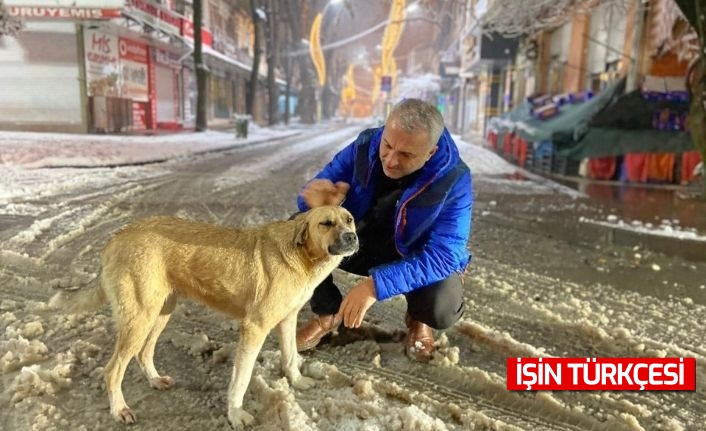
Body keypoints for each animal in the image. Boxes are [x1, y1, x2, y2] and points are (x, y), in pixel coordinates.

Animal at [51, 208, 358, 426]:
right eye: (326, 223)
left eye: (349, 220)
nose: (352, 237)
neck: (301, 255)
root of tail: (116, 236)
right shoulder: (254, 328)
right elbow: (241, 379)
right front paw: (236, 415)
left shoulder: (287, 320)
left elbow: (291, 356)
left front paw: (296, 380)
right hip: (140, 319)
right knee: (113, 369)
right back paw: (120, 410)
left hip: (160, 313)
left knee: (143, 353)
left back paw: (154, 380)